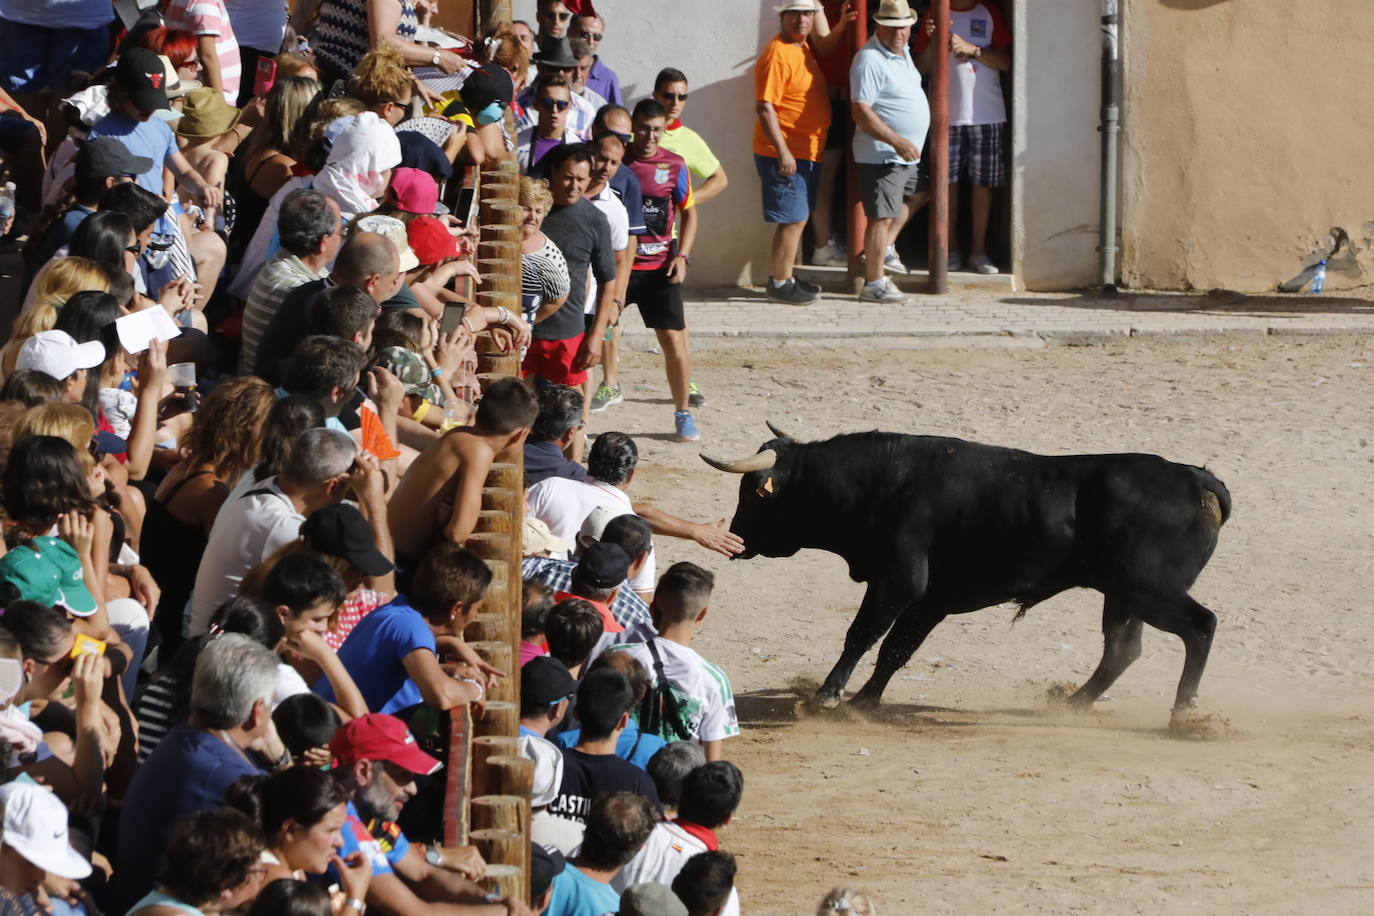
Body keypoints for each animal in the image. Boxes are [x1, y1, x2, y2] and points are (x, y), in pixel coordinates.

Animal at [697, 425, 1236, 714]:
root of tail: (1196, 478)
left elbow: (863, 636)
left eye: (754, 495)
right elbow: (896, 650)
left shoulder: (897, 583)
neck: (879, 481)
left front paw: (829, 695)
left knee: (1200, 626)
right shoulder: (931, 600)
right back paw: (1073, 705)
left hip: (1149, 590)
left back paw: (1183, 713)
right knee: (1122, 651)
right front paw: (864, 703)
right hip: (1123, 596)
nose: (735, 540)